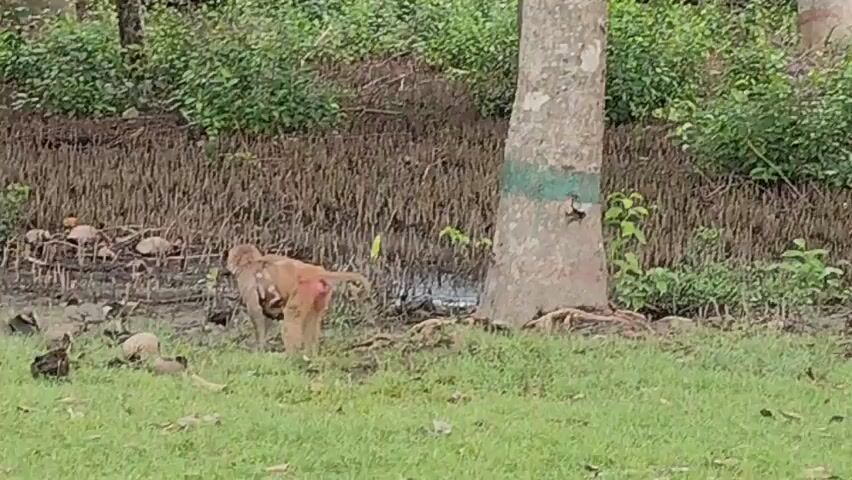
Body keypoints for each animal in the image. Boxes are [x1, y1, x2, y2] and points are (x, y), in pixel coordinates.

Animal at [226, 243, 370, 354]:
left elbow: (257, 314)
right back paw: (311, 355)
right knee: (312, 319)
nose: (229, 266)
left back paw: (292, 356)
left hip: (303, 289)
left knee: (292, 314)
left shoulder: (247, 280)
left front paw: (259, 350)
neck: (250, 262)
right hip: (319, 294)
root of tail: (316, 272)